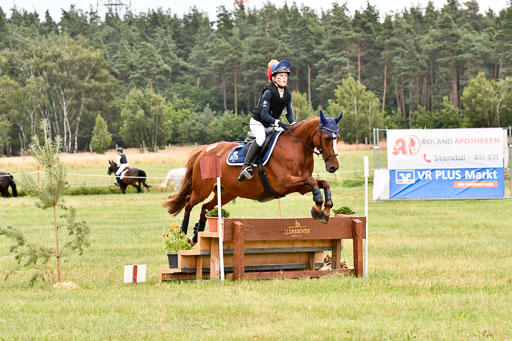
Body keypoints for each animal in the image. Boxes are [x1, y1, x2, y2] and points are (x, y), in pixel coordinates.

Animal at [162, 110, 342, 243]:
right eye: (327, 138)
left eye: (338, 138)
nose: (334, 167)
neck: (296, 147)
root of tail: (205, 149)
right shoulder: (284, 183)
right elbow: (313, 181)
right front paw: (317, 207)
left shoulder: (300, 186)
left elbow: (322, 183)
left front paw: (325, 211)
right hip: (202, 190)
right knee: (189, 203)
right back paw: (183, 232)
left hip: (226, 193)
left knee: (205, 208)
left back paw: (196, 235)